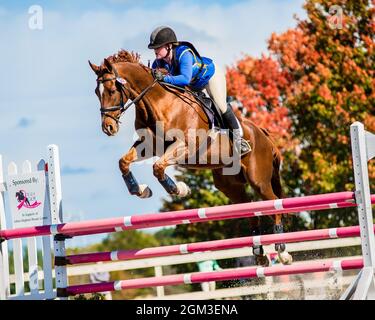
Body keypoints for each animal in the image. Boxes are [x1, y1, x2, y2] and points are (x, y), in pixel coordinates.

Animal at [89, 50, 294, 264]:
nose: (108, 128)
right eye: (96, 92)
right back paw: (259, 253)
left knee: (274, 204)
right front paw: (141, 190)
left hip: (258, 180)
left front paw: (179, 189)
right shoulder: (150, 145)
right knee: (251, 210)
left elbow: (158, 167)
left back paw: (282, 251)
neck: (158, 102)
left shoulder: (186, 145)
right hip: (229, 186)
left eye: (111, 90)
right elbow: (124, 162)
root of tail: (264, 135)